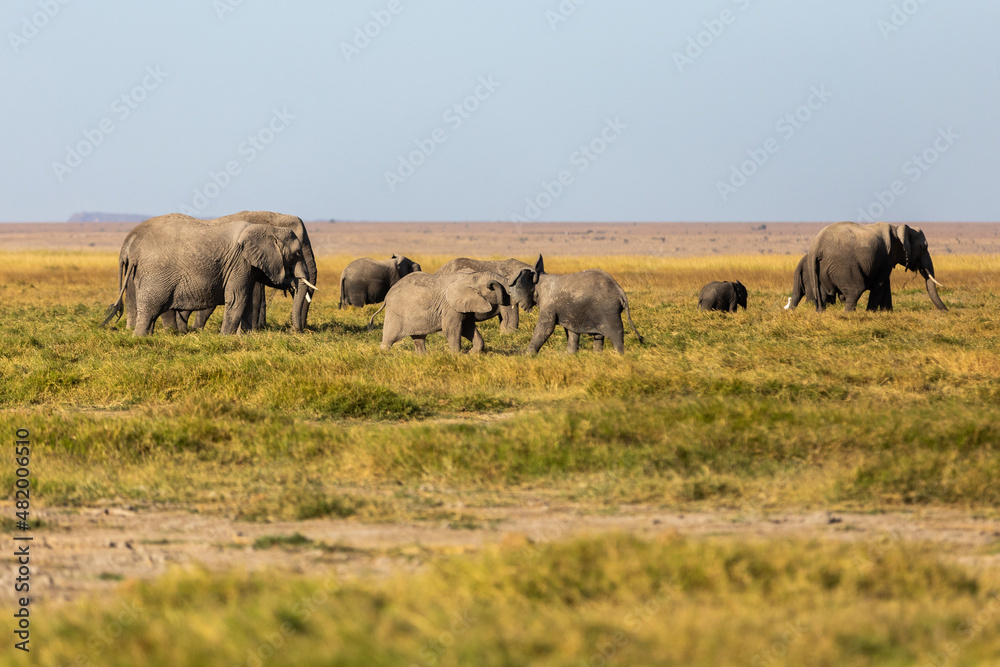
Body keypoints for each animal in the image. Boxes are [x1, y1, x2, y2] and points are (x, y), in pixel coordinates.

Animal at [116, 211, 317, 333]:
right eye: (297, 253)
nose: (295, 331)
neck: (267, 223)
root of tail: (127, 243)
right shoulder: (240, 262)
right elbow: (239, 299)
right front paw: (229, 336)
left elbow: (247, 298)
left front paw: (244, 335)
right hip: (158, 275)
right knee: (154, 305)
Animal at [379, 269, 535, 354]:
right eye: (492, 288)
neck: (469, 277)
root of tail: (387, 296)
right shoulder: (450, 306)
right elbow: (452, 329)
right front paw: (456, 356)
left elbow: (467, 328)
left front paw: (470, 354)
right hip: (395, 312)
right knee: (389, 338)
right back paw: (384, 355)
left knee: (419, 339)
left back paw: (422, 357)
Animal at [806, 222, 947, 312]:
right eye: (923, 248)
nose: (946, 311)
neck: (898, 228)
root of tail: (816, 246)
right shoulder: (887, 256)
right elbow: (880, 284)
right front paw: (871, 313)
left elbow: (886, 284)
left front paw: (887, 312)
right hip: (842, 265)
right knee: (855, 290)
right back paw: (848, 314)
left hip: (821, 268)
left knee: (822, 294)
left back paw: (821, 313)